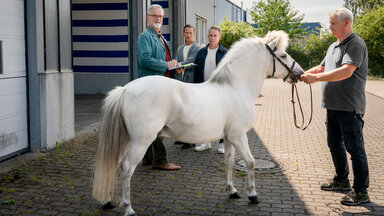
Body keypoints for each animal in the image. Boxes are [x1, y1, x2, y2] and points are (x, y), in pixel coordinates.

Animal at [92, 30, 304, 216]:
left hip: (126, 139)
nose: (300, 73)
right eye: (283, 55)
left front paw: (232, 191)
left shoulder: (229, 137)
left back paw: (108, 201)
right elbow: (250, 163)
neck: (235, 87)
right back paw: (128, 208)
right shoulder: (239, 136)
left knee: (114, 165)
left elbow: (228, 162)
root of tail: (125, 90)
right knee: (126, 168)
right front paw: (252, 195)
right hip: (140, 142)